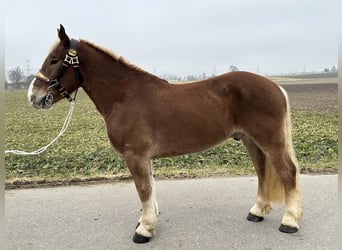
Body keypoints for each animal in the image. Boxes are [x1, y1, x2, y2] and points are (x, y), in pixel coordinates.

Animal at [28, 24, 302, 243]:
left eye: (54, 60)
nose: (34, 96)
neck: (125, 95)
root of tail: (275, 86)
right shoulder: (143, 157)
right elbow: (150, 188)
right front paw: (145, 222)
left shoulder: (135, 155)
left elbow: (143, 190)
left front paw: (145, 229)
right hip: (250, 140)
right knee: (262, 171)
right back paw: (257, 211)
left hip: (270, 140)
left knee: (288, 173)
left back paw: (289, 221)